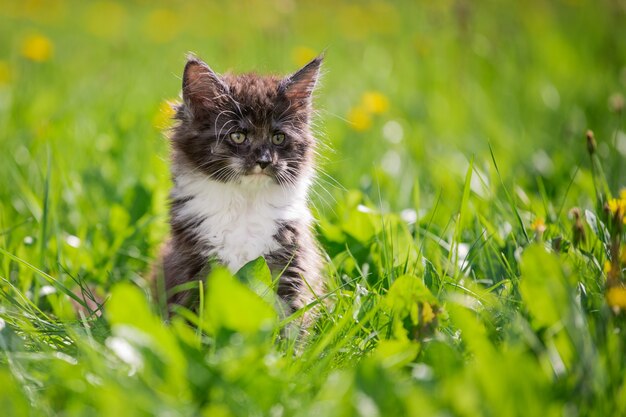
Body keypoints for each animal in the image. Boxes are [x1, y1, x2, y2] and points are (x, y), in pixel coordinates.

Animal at [154, 53, 324, 320]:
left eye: (278, 138)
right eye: (238, 136)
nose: (264, 160)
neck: (245, 204)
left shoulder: (292, 265)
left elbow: (291, 321)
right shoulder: (192, 267)